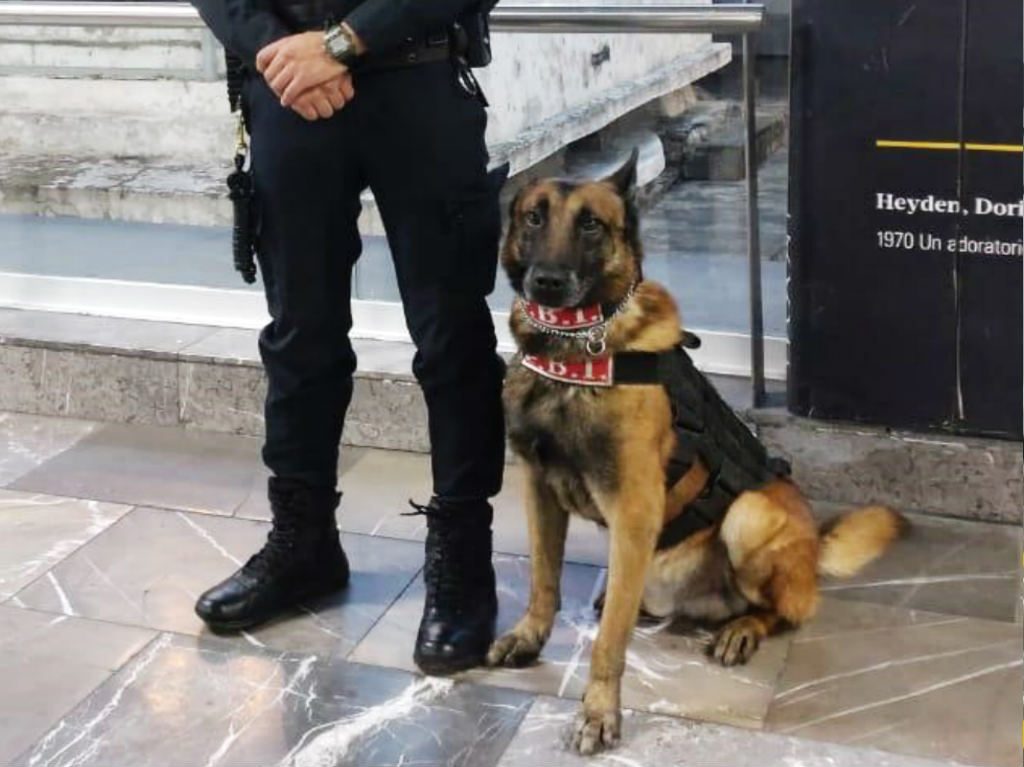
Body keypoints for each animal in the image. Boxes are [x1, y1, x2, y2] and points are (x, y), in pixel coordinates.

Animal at [487, 152, 905, 749]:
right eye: (533, 218)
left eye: (591, 224)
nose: (547, 282)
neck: (576, 348)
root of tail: (812, 550)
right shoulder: (540, 489)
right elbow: (544, 582)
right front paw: (529, 637)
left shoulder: (635, 510)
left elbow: (608, 642)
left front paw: (598, 711)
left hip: (749, 520)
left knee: (786, 610)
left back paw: (743, 628)